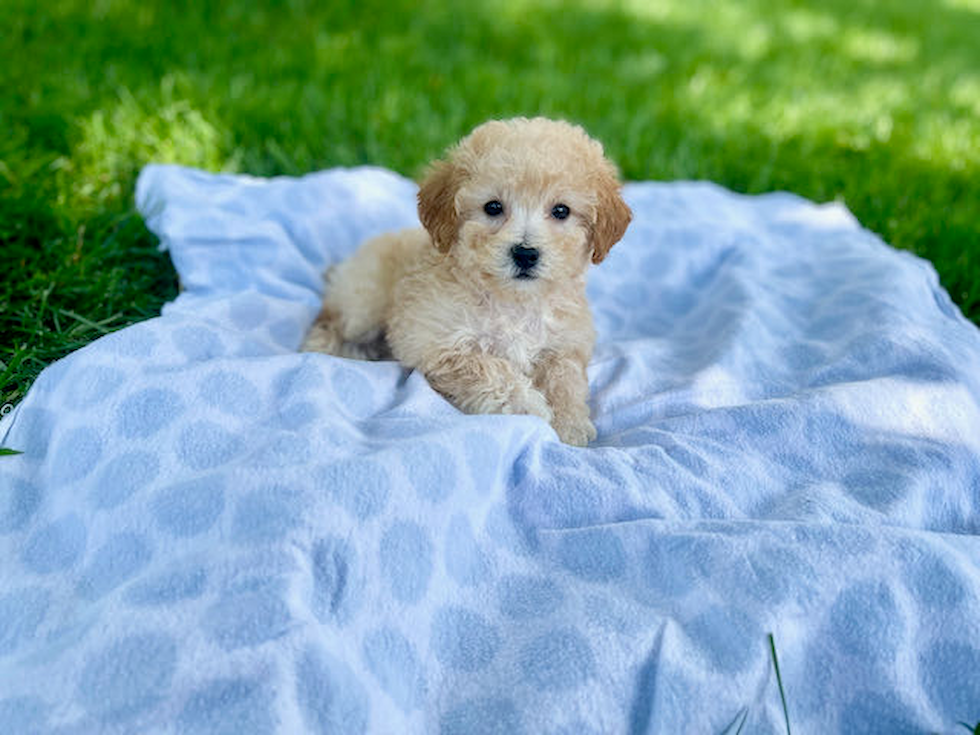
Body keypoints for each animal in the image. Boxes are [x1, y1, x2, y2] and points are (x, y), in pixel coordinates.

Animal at [302, 118, 632, 446]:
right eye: (493, 207)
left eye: (561, 210)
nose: (525, 253)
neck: (514, 301)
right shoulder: (439, 345)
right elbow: (489, 369)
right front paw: (528, 405)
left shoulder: (565, 345)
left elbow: (565, 378)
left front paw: (569, 424)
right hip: (364, 302)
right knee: (329, 321)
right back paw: (323, 349)